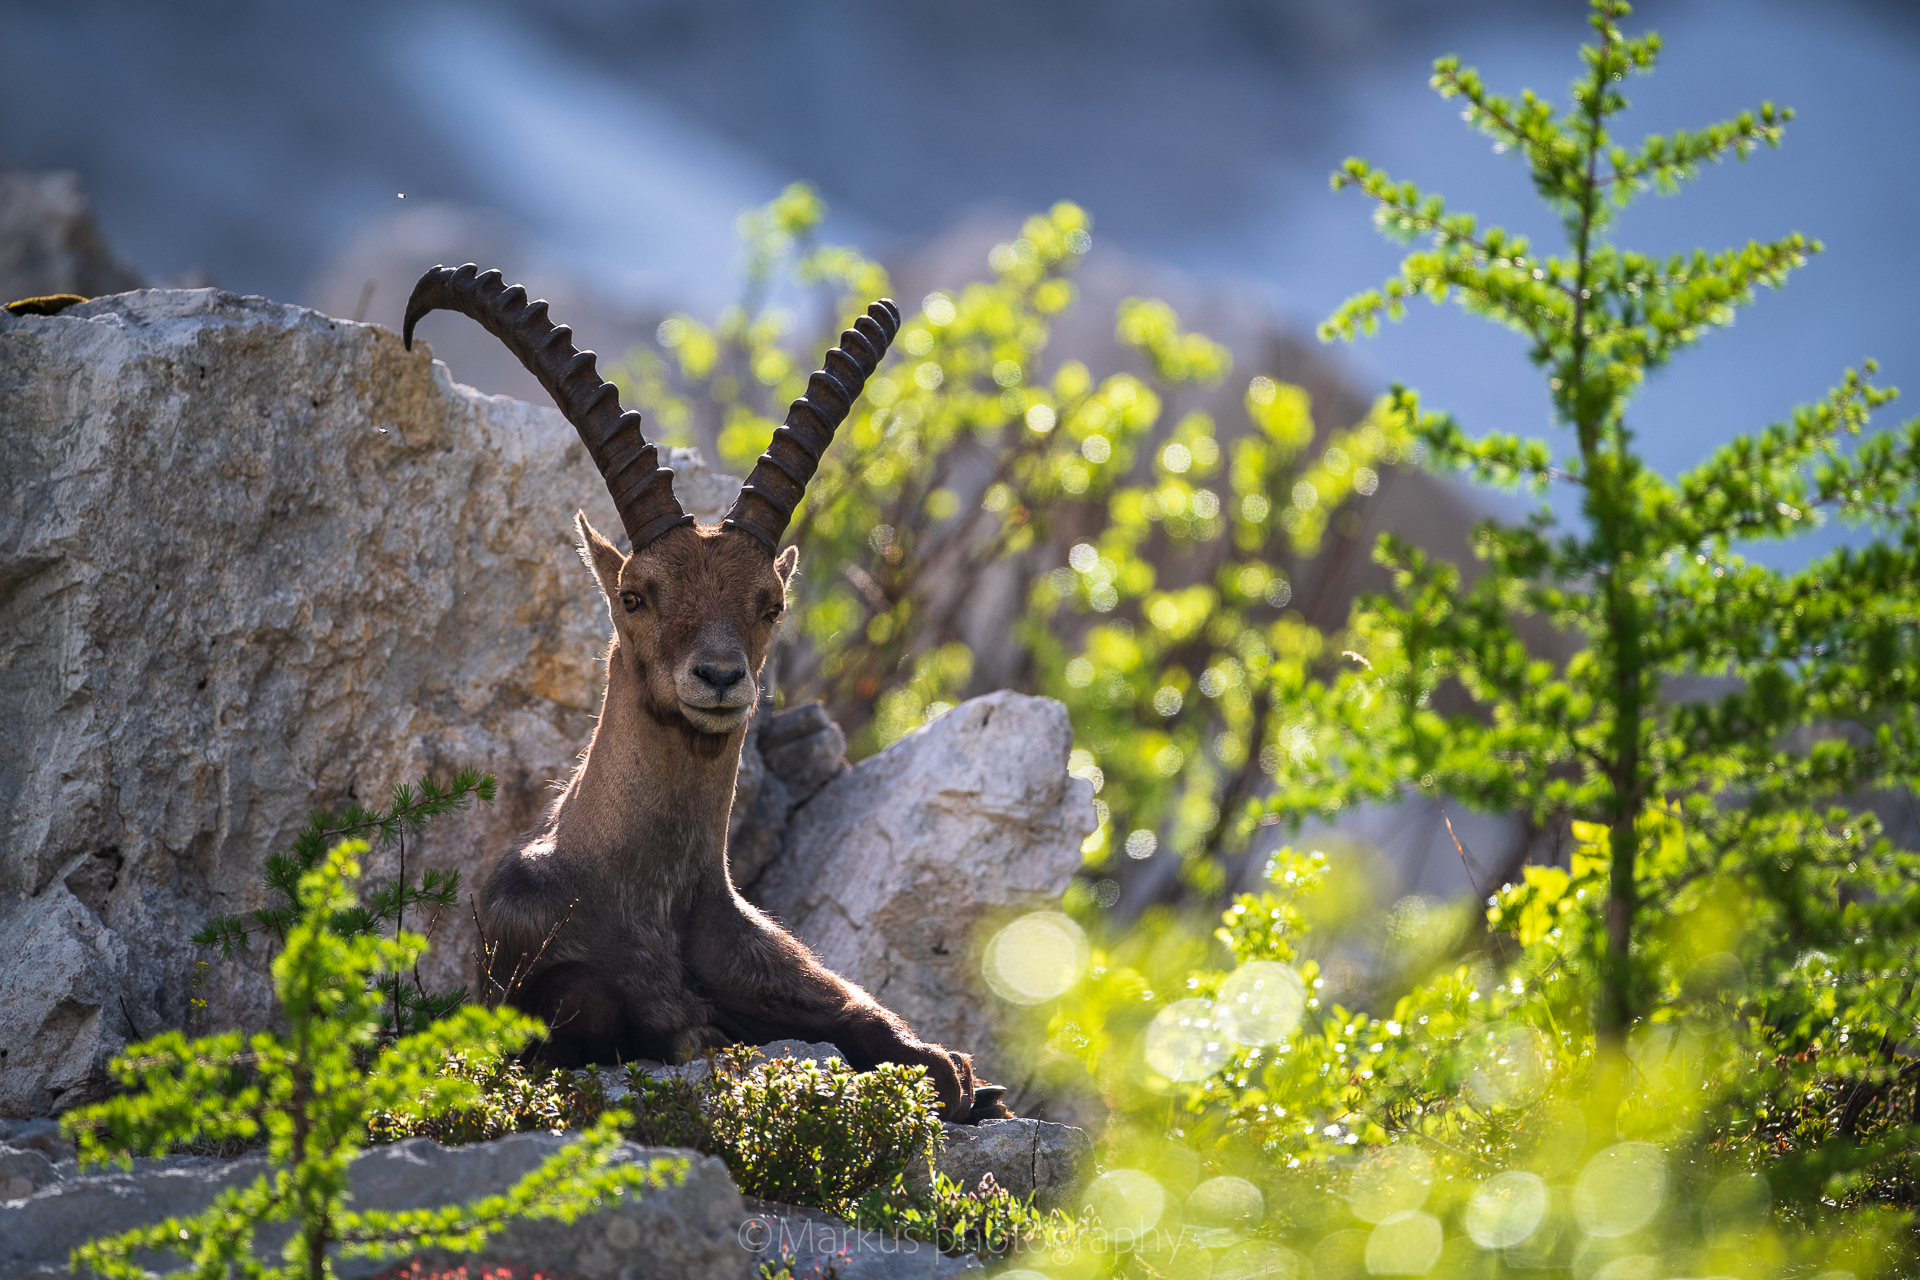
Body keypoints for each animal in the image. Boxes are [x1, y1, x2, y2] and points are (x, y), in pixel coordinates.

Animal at [403, 265, 1006, 1122]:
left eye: (771, 603)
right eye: (635, 595)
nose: (720, 677)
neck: (650, 897)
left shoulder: (794, 976)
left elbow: (886, 1031)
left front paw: (965, 1079)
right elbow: (623, 1012)